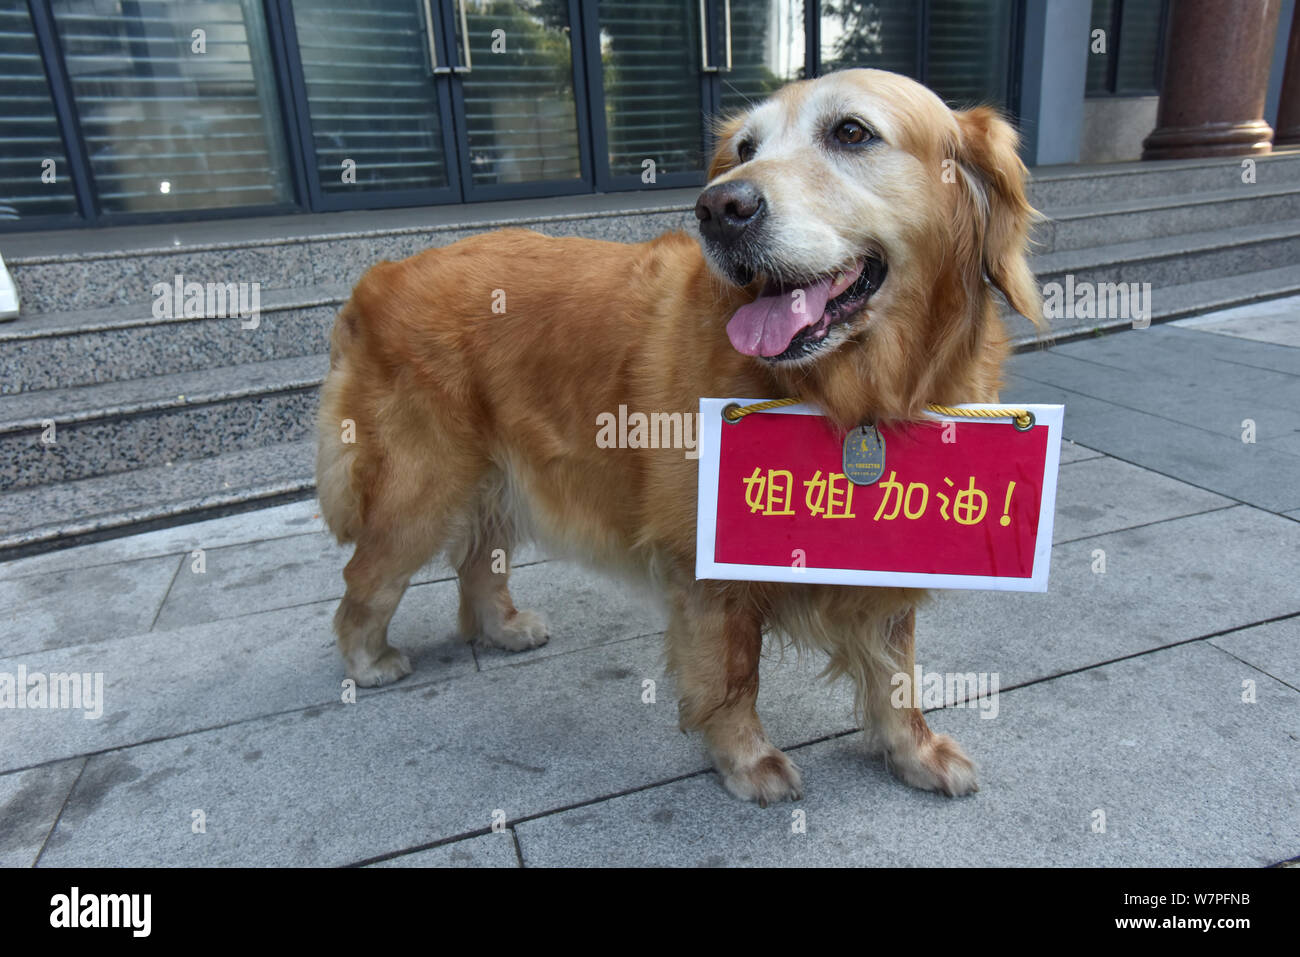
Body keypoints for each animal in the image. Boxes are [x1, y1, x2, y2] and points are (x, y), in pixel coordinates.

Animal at [319, 67, 1040, 806]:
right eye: (745, 147)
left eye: (851, 132)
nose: (718, 209)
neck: (847, 393)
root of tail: (377, 275)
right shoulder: (706, 563)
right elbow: (733, 671)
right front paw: (746, 760)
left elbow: (896, 670)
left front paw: (912, 750)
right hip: (420, 493)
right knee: (365, 581)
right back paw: (368, 660)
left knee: (477, 564)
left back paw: (500, 628)